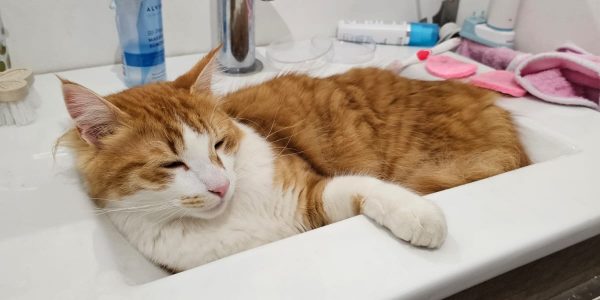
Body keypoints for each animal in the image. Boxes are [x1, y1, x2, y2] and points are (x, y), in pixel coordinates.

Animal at [58, 47, 528, 272]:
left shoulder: (311, 191)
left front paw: (418, 214)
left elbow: (370, 187)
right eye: (172, 165)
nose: (221, 186)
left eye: (218, 145)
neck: (235, 218)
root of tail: (491, 105)